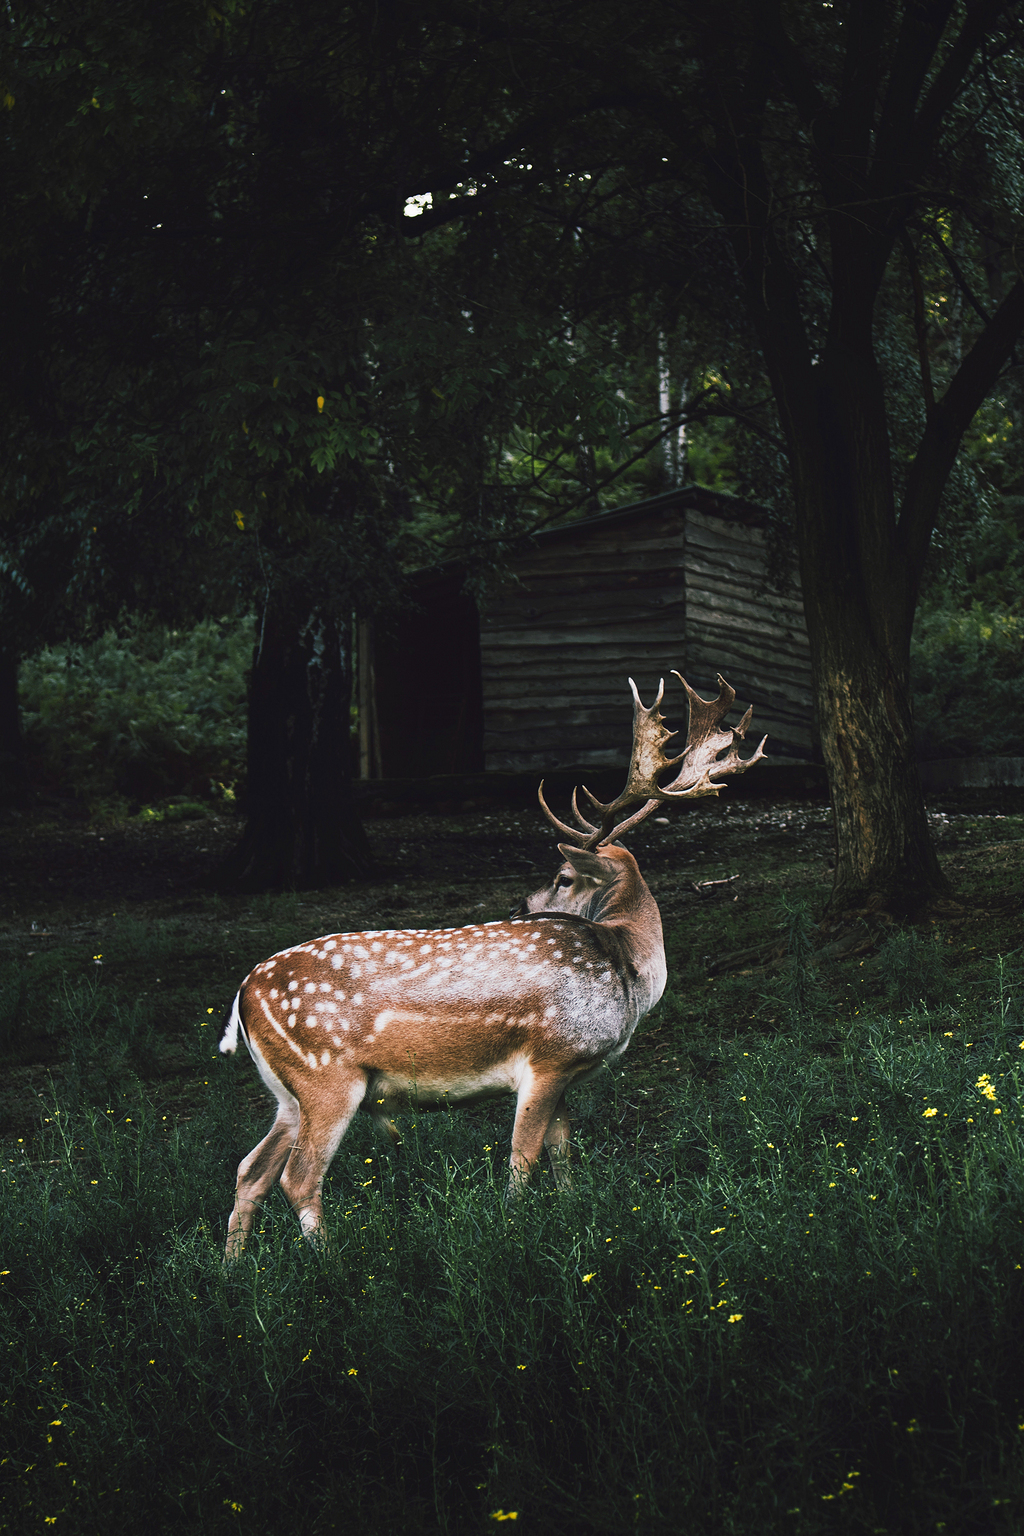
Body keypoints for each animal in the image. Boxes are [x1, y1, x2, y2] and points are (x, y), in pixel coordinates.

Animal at [218, 675, 761, 1259]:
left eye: (563, 877)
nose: (521, 907)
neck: (627, 972)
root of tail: (244, 994)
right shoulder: (550, 1056)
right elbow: (522, 1160)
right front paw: (512, 1233)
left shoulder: (566, 1073)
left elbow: (563, 1155)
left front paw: (573, 1218)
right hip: (326, 1076)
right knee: (299, 1177)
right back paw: (329, 1263)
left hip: (287, 1093)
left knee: (250, 1171)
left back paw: (234, 1270)